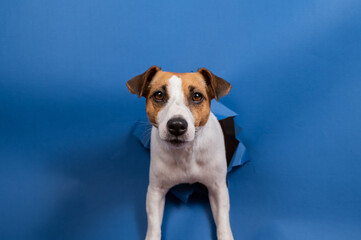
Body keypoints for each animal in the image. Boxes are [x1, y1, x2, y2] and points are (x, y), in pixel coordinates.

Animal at [126, 66, 233, 240]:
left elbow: (223, 224)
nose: (177, 125)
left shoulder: (218, 188)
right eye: (159, 95)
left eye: (197, 96)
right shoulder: (155, 191)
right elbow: (154, 225)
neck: (185, 154)